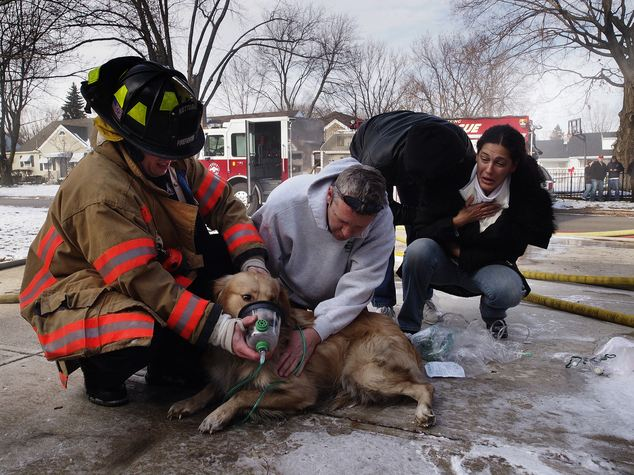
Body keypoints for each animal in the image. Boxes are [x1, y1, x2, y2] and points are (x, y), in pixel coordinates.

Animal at [167, 270, 434, 434]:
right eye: (246, 297)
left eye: (274, 299)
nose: (265, 325)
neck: (236, 359)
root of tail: (399, 330)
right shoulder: (226, 375)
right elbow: (210, 388)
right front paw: (186, 402)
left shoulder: (301, 391)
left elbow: (244, 394)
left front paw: (218, 415)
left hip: (362, 372)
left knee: (424, 386)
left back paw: (423, 411)